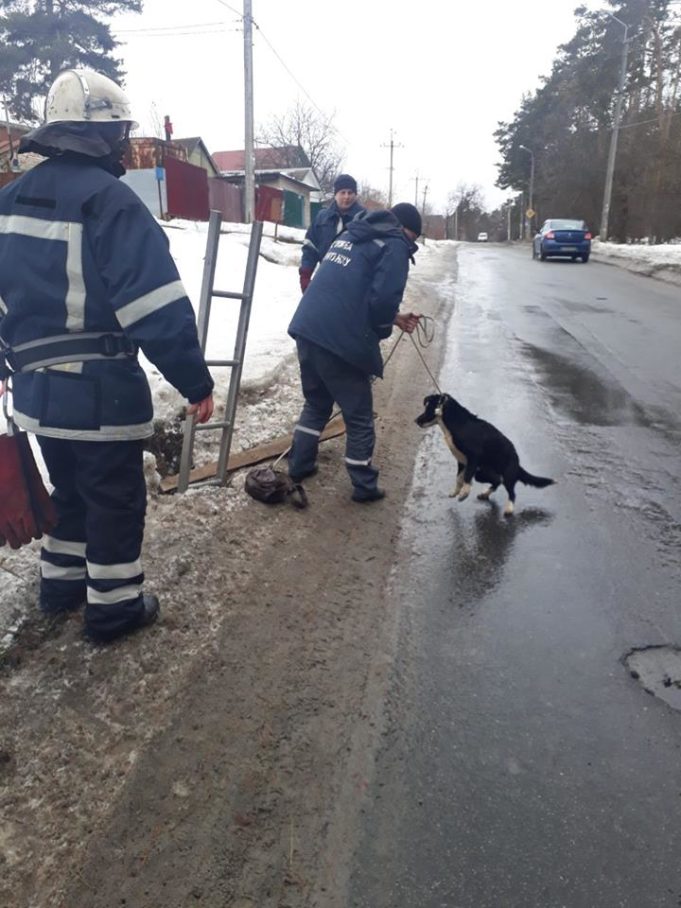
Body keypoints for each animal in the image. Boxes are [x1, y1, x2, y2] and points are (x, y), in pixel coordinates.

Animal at [414, 392, 552, 516]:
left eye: (428, 409)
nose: (416, 420)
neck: (458, 423)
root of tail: (518, 463)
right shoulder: (462, 461)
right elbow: (459, 478)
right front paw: (456, 491)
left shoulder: (473, 456)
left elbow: (466, 477)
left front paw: (464, 494)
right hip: (482, 473)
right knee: (497, 480)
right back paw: (485, 494)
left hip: (507, 474)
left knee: (511, 492)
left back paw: (509, 508)